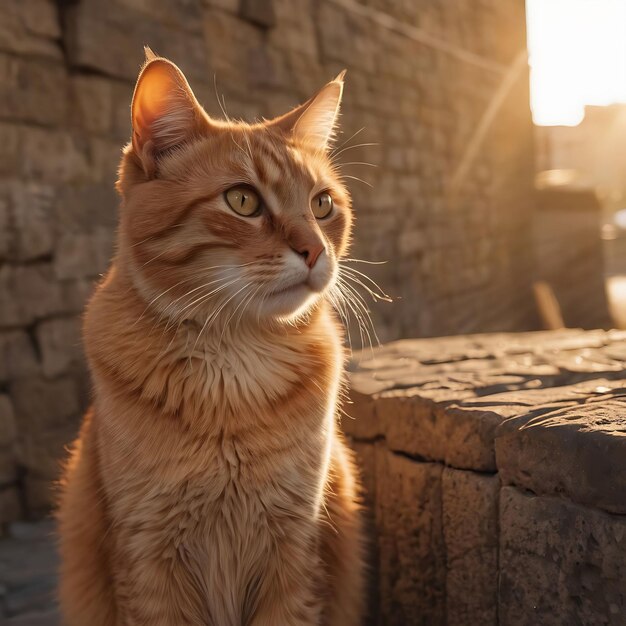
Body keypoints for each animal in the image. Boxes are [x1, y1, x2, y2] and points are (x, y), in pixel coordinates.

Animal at [58, 48, 366, 624]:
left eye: (322, 205)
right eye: (243, 201)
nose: (316, 250)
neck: (233, 367)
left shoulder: (295, 548)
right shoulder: (149, 557)